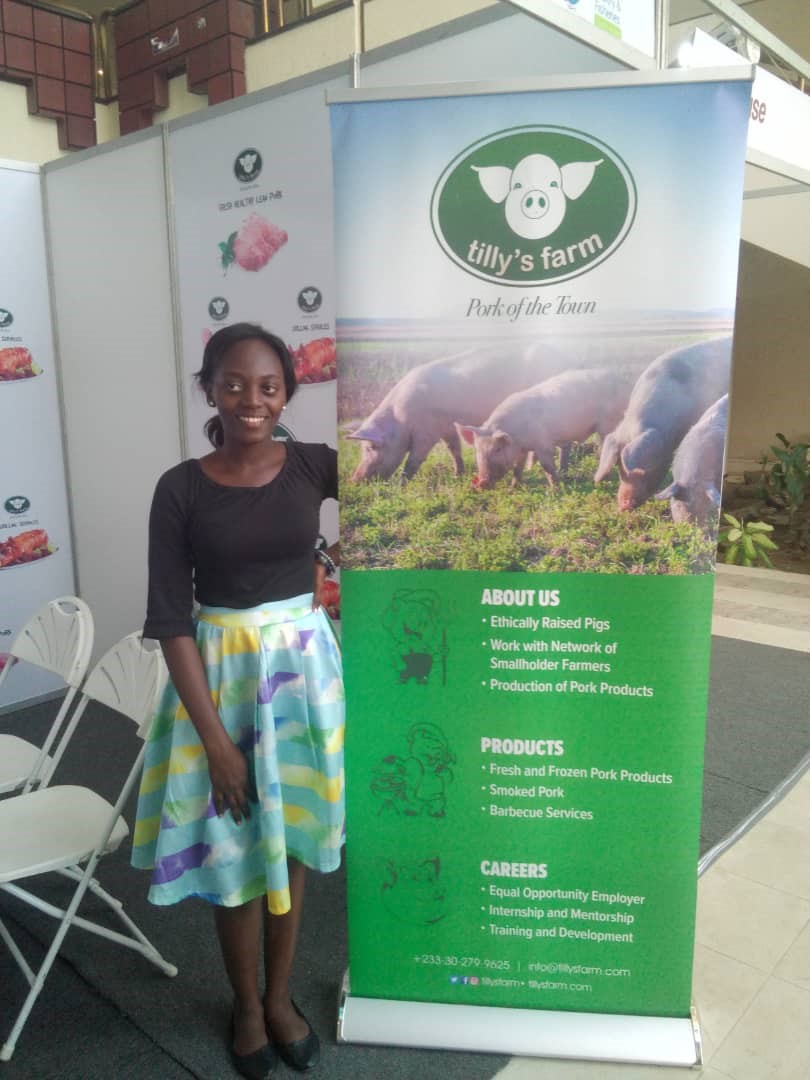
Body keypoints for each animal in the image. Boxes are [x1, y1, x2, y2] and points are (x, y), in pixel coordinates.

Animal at [349, 343, 570, 483]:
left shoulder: (426, 432)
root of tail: (566, 356)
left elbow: (414, 460)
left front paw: (400, 485)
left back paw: (563, 469)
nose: (353, 480)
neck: (400, 421)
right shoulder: (447, 427)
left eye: (370, 447)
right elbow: (454, 449)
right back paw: (534, 468)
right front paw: (457, 475)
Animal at [457, 369, 635, 492]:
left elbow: (547, 466)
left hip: (608, 423)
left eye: (497, 449)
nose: (481, 482)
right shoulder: (522, 449)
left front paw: (555, 489)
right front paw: (513, 488)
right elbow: (518, 467)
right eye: (477, 450)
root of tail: (627, 385)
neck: (516, 435)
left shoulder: (543, 444)